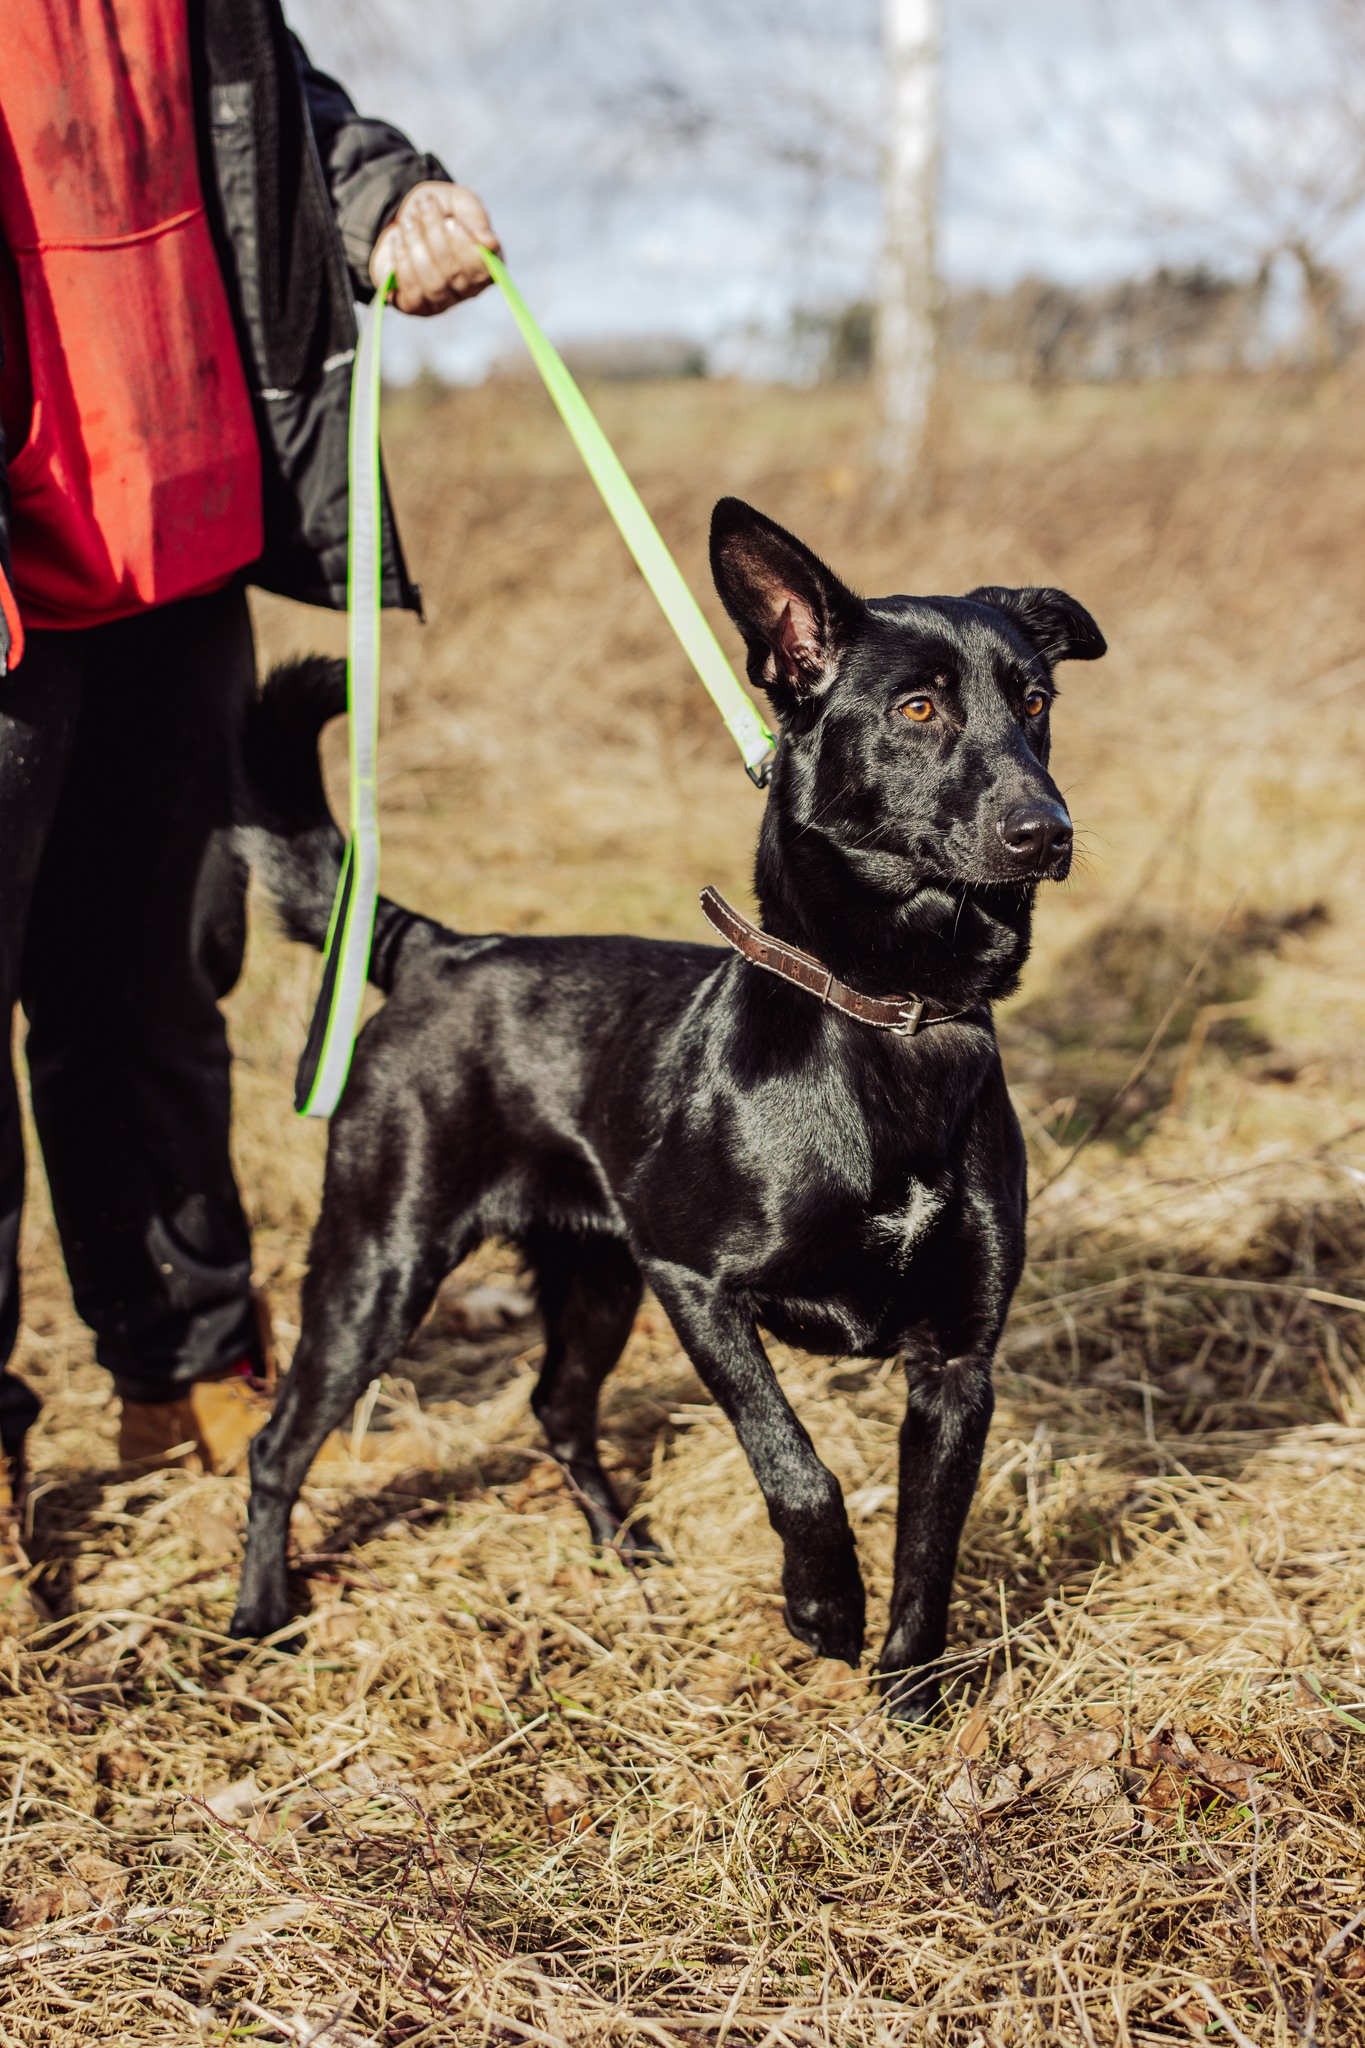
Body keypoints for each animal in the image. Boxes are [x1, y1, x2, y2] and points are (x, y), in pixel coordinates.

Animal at [229, 497, 1104, 1718]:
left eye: (1034, 702)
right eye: (918, 707)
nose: (1048, 831)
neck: (892, 1012)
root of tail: (447, 950)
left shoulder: (956, 1364)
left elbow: (931, 1545)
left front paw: (910, 1701)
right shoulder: (698, 1286)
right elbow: (796, 1464)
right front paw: (823, 1610)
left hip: (596, 1274)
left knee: (556, 1404)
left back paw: (620, 1547)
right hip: (380, 1264)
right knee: (279, 1444)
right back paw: (261, 1613)